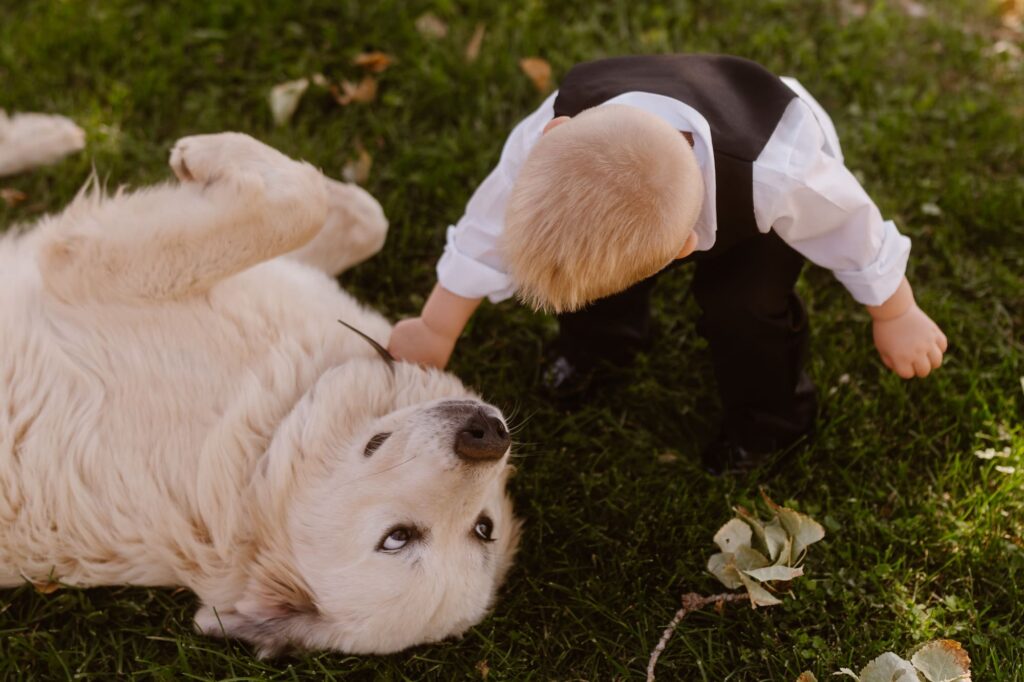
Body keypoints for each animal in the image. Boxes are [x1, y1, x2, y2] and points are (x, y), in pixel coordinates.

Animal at [0, 130, 520, 655]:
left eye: (480, 526)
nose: (488, 434)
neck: (265, 442)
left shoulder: (84, 267)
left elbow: (296, 206)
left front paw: (212, 159)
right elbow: (352, 216)